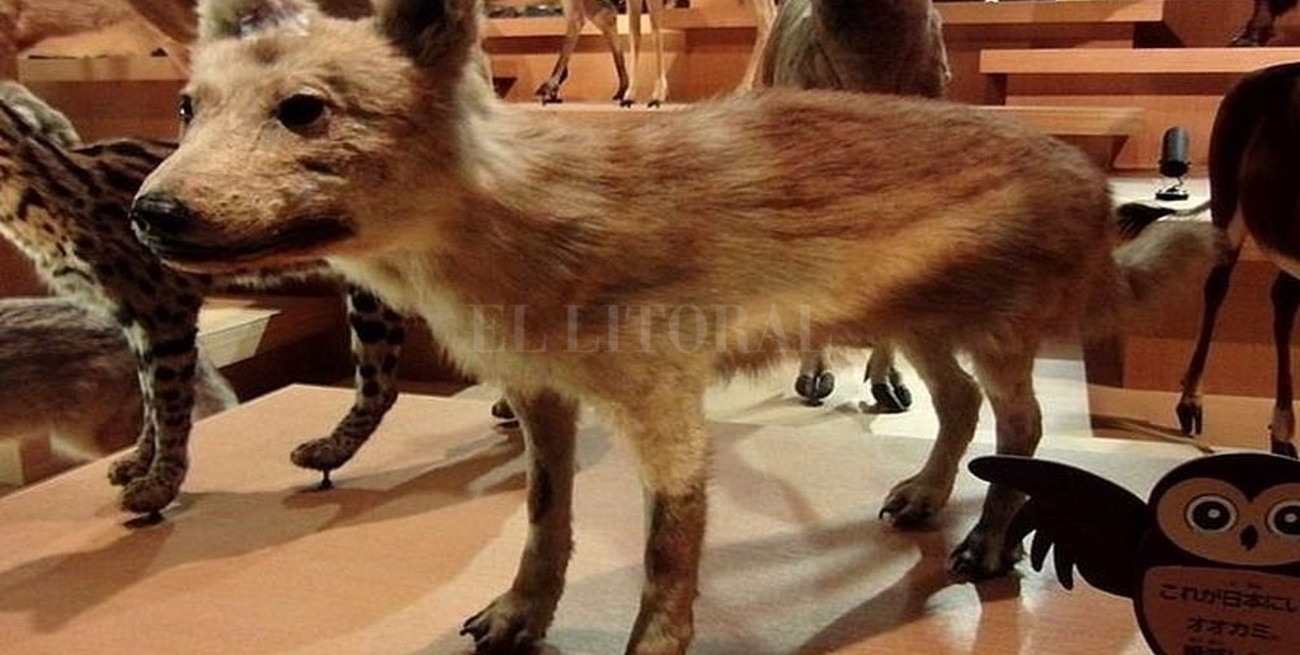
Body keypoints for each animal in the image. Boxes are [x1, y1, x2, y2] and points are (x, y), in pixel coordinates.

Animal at [130, 0, 1226, 652]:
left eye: (304, 109)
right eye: (187, 108)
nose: (151, 212)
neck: (529, 224)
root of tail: (1085, 176)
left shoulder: (668, 415)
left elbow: (667, 555)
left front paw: (651, 640)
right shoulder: (541, 398)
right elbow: (545, 523)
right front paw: (521, 614)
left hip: (993, 341)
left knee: (1021, 431)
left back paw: (990, 544)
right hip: (917, 331)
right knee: (954, 412)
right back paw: (920, 495)